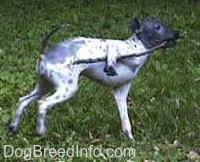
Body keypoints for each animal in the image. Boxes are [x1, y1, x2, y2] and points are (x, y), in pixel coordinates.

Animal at [9, 17, 180, 139]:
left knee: (23, 100)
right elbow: (110, 49)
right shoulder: (115, 47)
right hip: (67, 88)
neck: (138, 47)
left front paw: (130, 140)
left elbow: (125, 121)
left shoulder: (121, 92)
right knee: (42, 104)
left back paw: (13, 127)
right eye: (157, 26)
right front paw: (109, 65)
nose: (178, 33)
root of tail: (44, 56)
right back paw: (41, 130)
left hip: (44, 86)